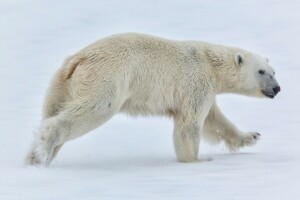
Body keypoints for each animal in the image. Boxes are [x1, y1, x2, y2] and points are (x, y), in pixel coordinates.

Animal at [24, 33, 280, 166]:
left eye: (273, 71)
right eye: (261, 72)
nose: (277, 88)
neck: (211, 62)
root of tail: (78, 60)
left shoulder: (204, 89)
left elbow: (214, 121)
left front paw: (251, 136)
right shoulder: (196, 81)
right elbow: (191, 123)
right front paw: (197, 160)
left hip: (61, 85)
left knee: (51, 111)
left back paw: (34, 157)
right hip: (107, 77)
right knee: (92, 109)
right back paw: (44, 150)